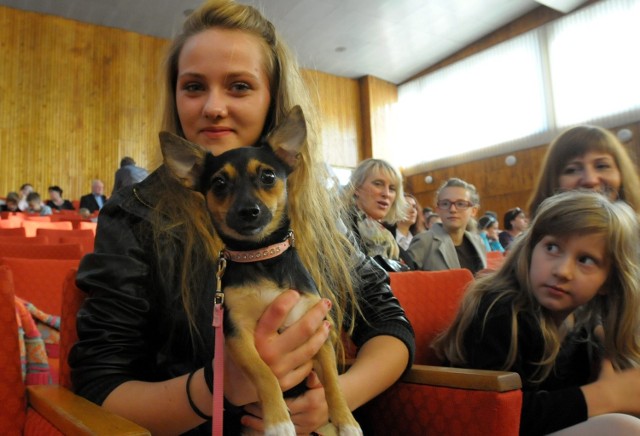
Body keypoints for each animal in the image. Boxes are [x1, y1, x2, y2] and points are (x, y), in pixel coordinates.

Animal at [161, 106, 360, 436]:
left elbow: (333, 383)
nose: (248, 211)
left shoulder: (318, 331)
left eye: (268, 176)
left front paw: (346, 420)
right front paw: (278, 421)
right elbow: (265, 374)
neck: (261, 255)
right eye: (219, 184)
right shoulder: (238, 334)